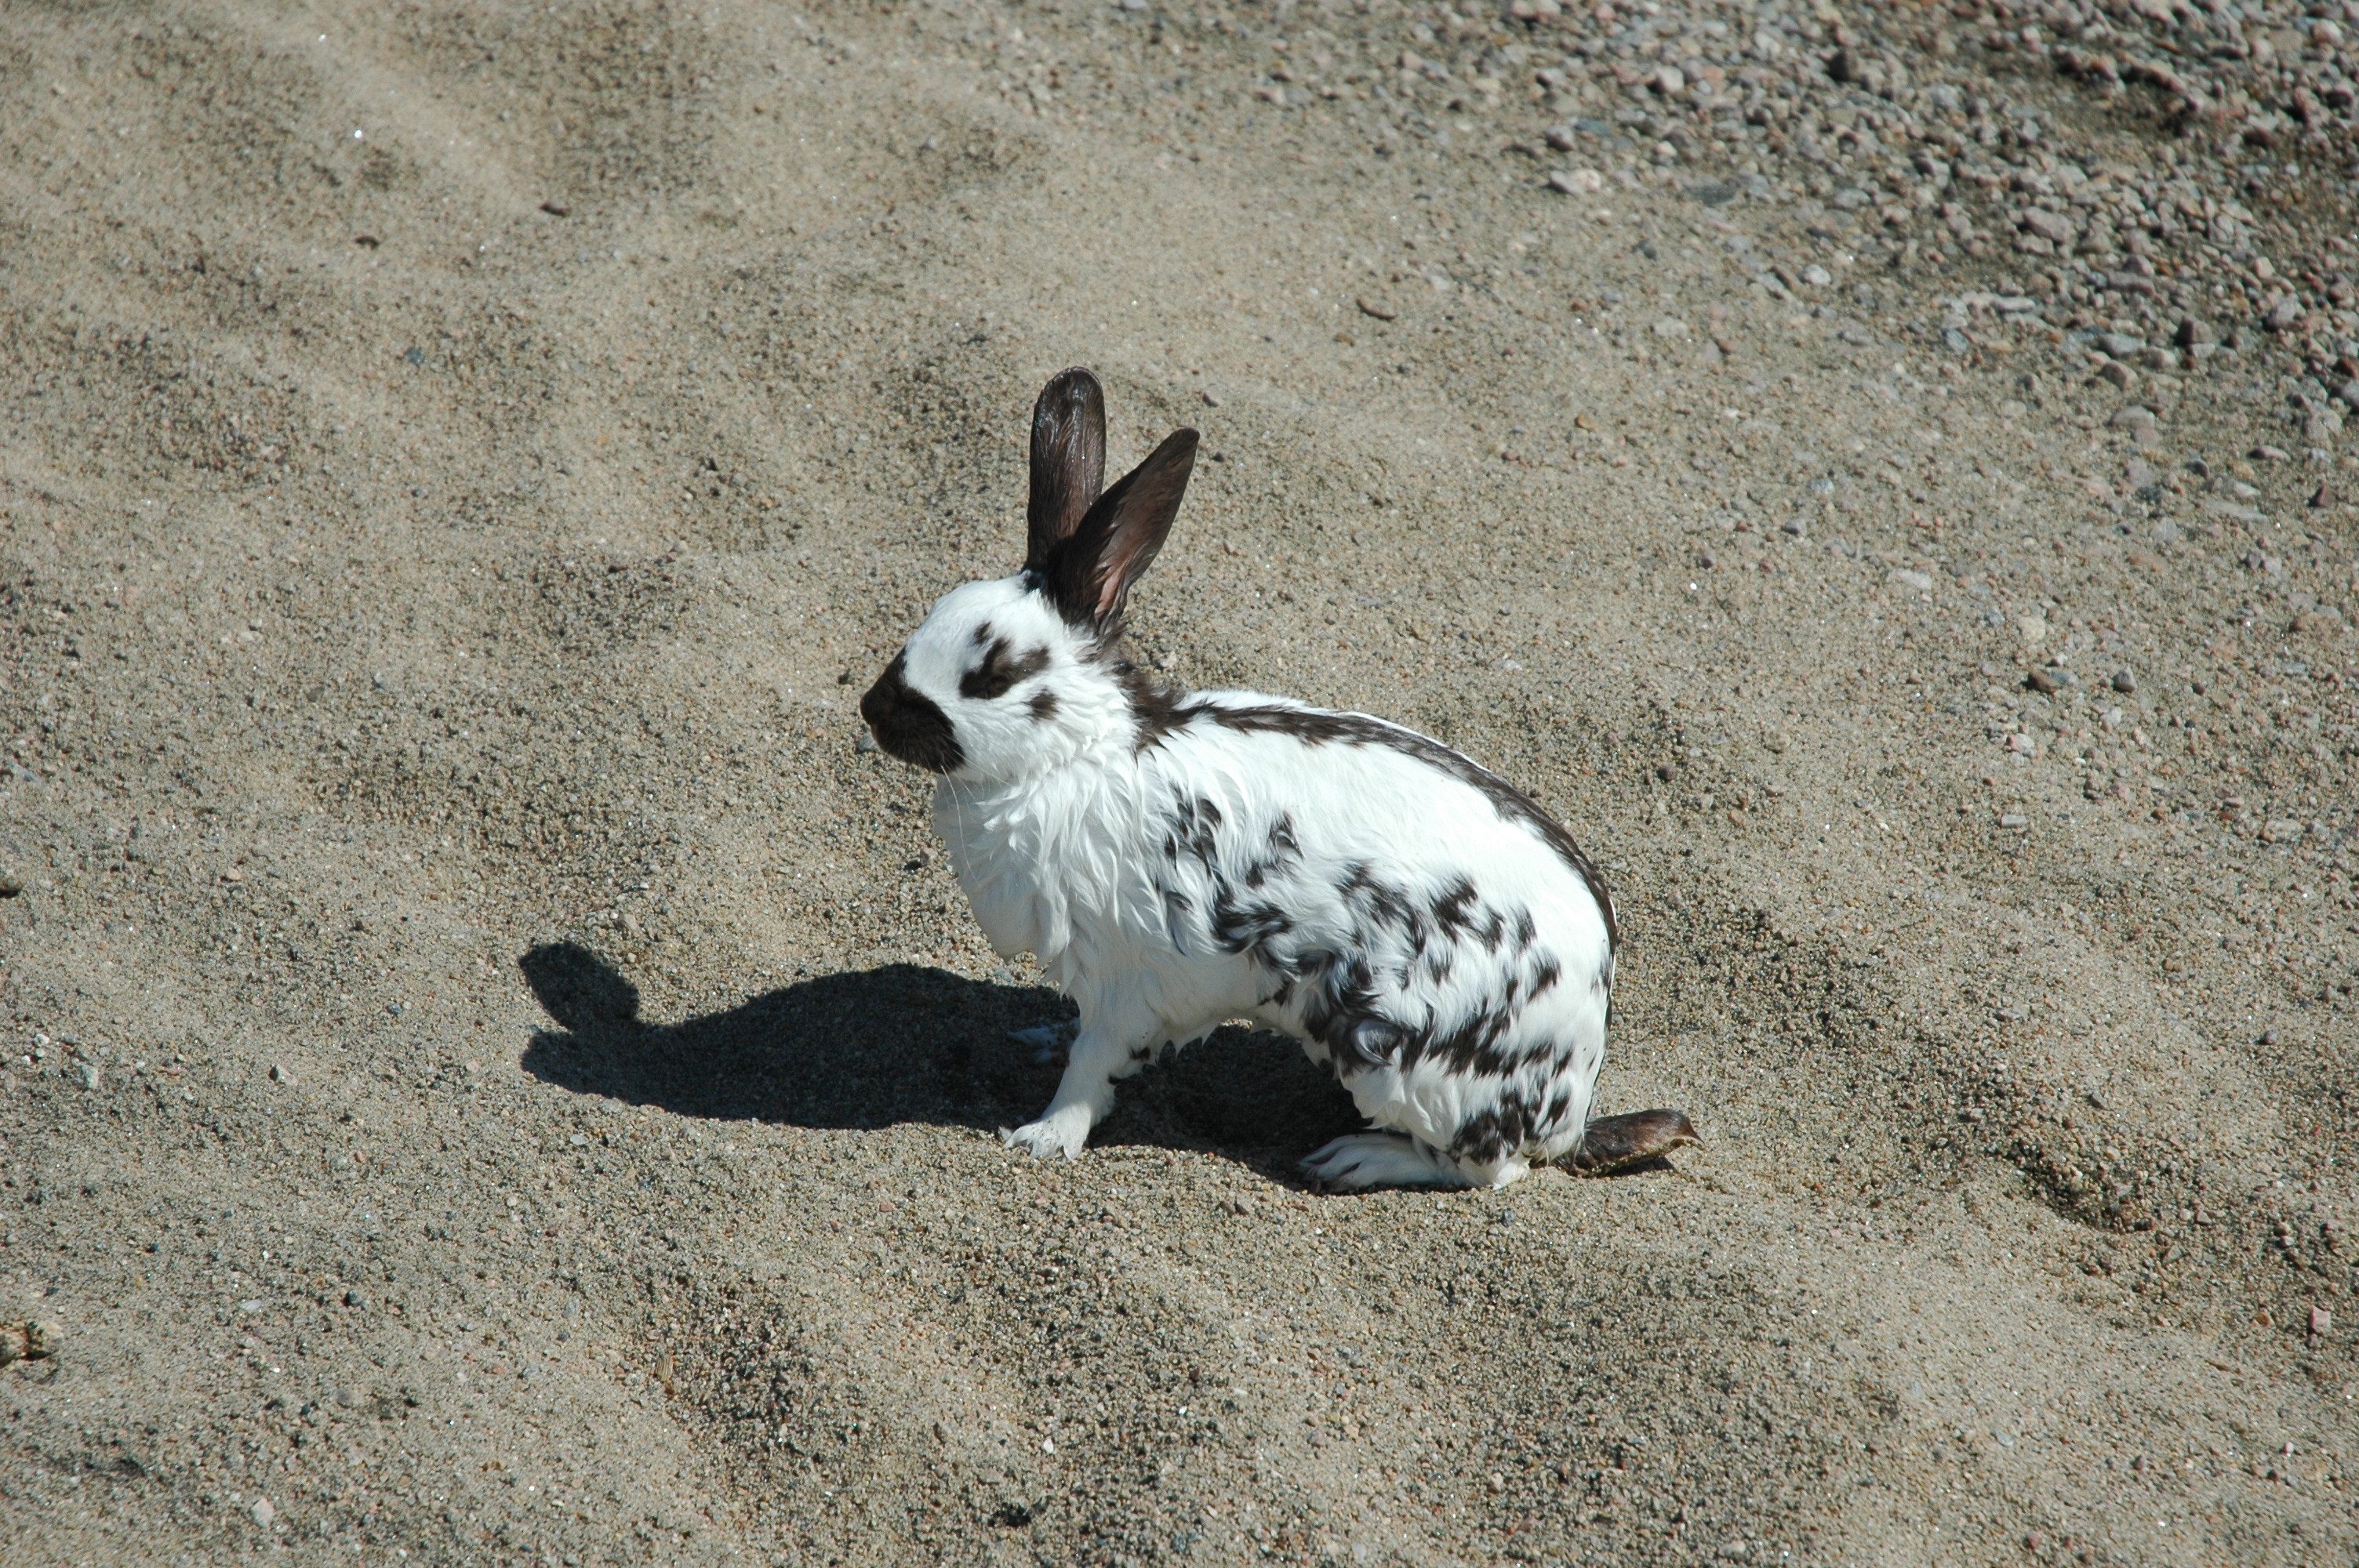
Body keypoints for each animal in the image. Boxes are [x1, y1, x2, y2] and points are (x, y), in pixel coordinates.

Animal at [859, 367, 1696, 1189]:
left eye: (991, 676)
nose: (872, 711)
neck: (1080, 755)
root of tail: (1574, 1102)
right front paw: (1035, 1038)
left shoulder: (1127, 986)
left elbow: (1090, 1070)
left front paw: (1041, 1138)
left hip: (1395, 1055)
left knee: (1490, 1169)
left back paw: (1353, 1158)